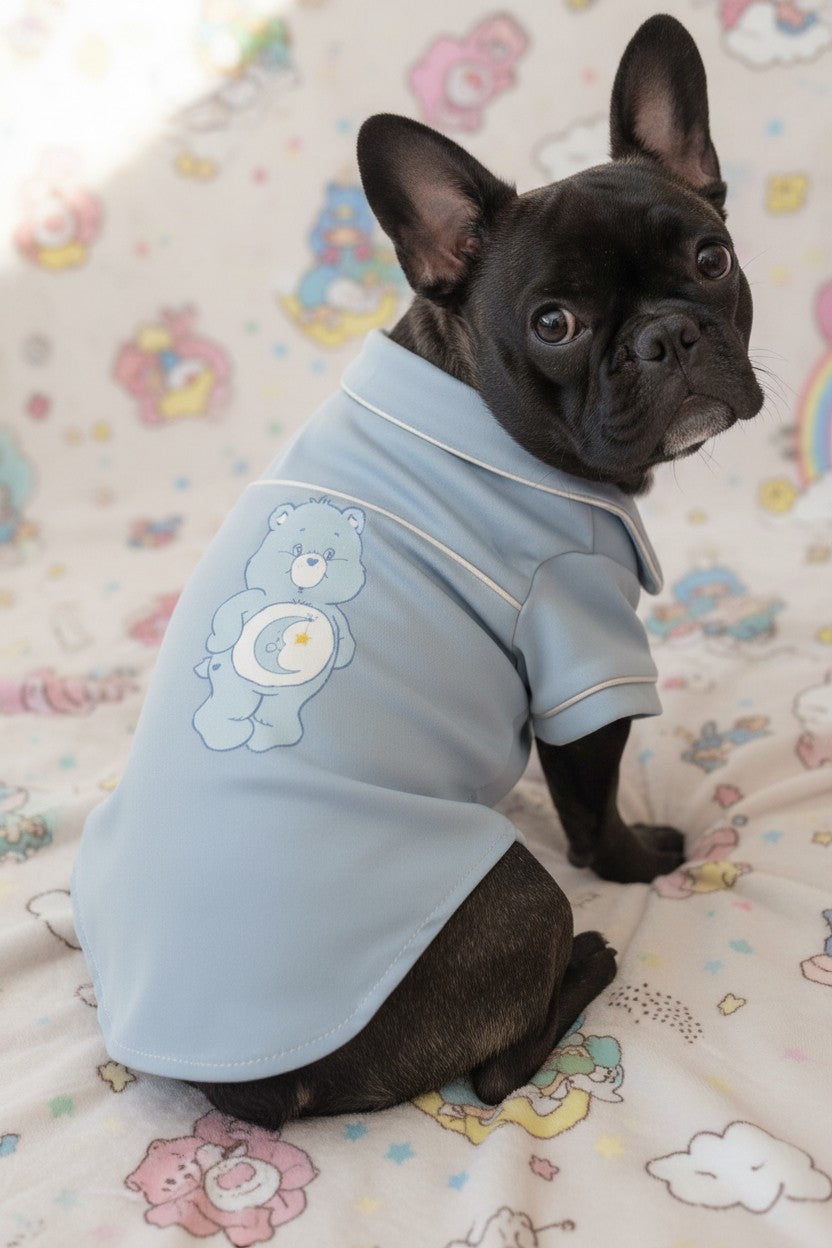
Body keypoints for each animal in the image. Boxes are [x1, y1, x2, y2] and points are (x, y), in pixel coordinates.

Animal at [193, 498, 365, 752]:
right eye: (297, 549)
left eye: (330, 553)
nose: (312, 559)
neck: (301, 598)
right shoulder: (255, 597)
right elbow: (230, 612)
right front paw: (216, 641)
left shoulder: (336, 617)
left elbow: (345, 639)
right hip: (232, 679)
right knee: (229, 705)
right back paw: (225, 734)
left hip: (291, 695)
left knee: (278, 712)